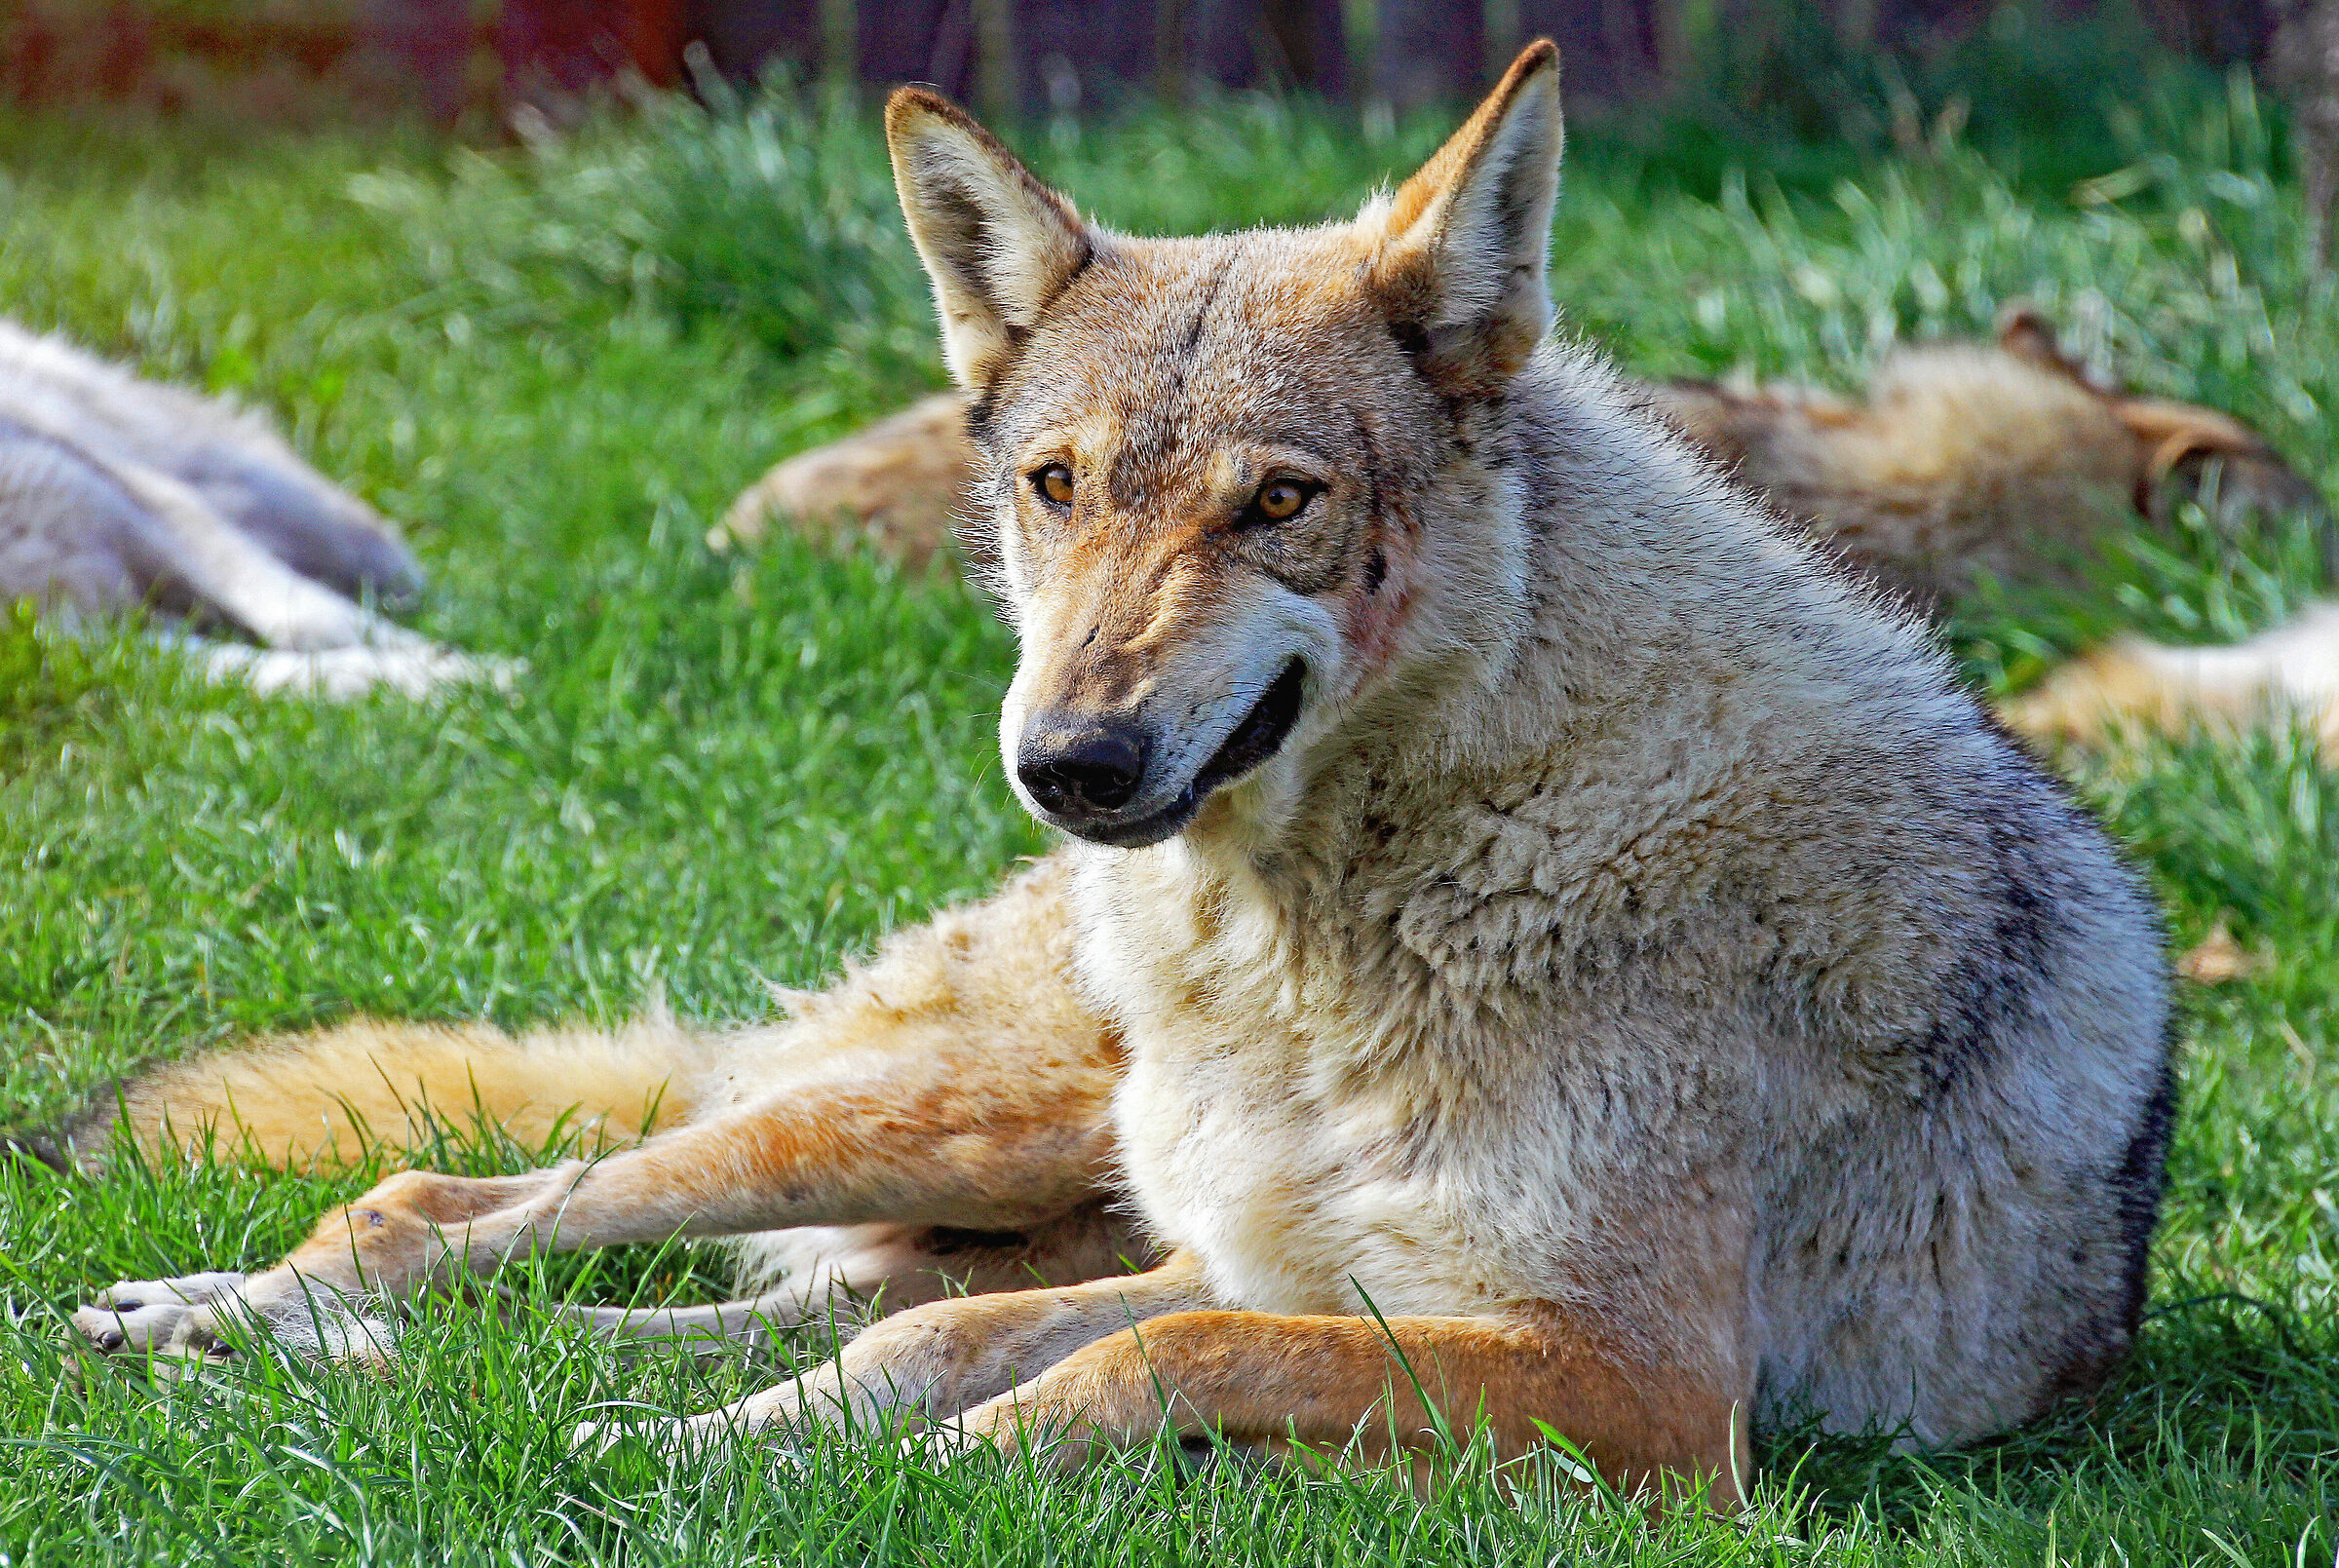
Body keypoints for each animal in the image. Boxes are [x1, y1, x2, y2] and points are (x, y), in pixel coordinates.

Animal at [0, 320, 492, 697]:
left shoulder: (152, 512)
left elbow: (315, 619)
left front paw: (474, 673)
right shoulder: (88, 643)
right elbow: (256, 668)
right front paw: (437, 682)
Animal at [69, 46, 2174, 1504]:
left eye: (1281, 503)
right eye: (1057, 485)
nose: (1068, 761)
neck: (1320, 946)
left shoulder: (1613, 1379)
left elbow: (1089, 1365)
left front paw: (769, 1467)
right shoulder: (1297, 1277)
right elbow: (977, 1348)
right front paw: (733, 1460)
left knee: (709, 1301)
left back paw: (366, 1370)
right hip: (952, 1119)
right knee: (458, 1203)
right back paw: (225, 1322)